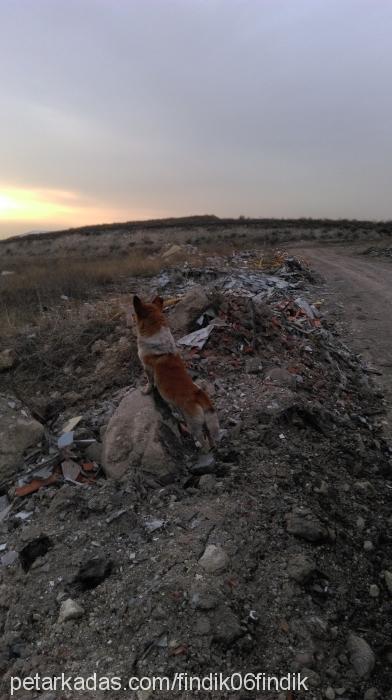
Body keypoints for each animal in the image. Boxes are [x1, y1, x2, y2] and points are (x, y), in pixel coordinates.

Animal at [133, 294, 219, 448]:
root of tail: (198, 395)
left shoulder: (147, 368)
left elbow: (149, 382)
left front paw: (146, 390)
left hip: (194, 425)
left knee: (203, 440)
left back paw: (200, 446)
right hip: (205, 423)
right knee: (209, 436)